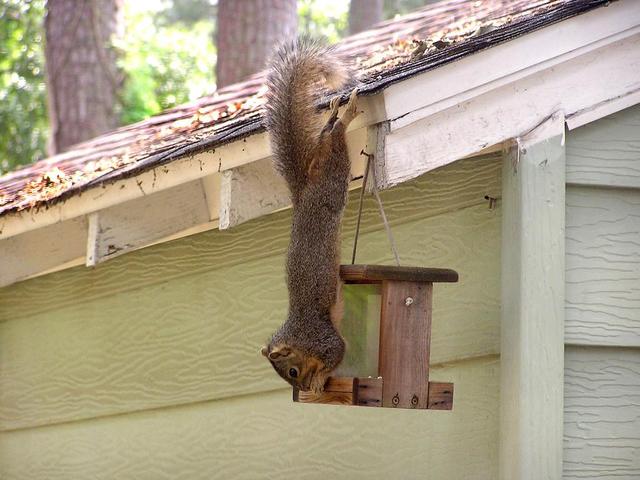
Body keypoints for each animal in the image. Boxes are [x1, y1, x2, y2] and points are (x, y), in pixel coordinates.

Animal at [260, 35, 360, 392]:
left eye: (291, 371)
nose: (300, 390)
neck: (298, 334)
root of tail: (302, 194)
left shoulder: (324, 338)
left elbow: (337, 353)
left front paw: (318, 380)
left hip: (331, 183)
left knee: (337, 143)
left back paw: (348, 112)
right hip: (324, 162)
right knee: (326, 136)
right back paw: (333, 115)